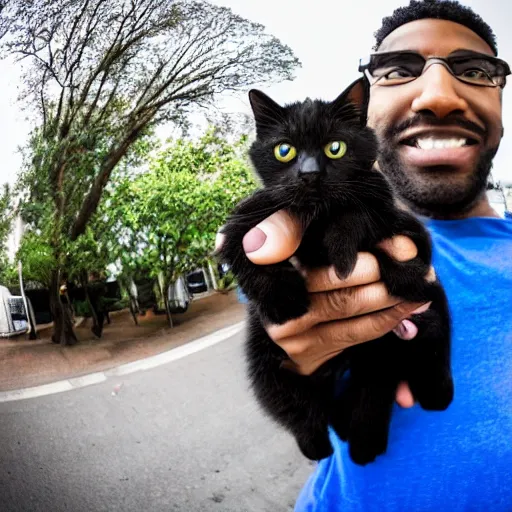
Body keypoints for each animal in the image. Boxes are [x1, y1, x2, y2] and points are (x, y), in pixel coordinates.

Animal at [218, 78, 454, 466]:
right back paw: (323, 445)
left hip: (390, 346)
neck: (316, 220)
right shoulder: (250, 215)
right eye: (284, 150)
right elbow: (239, 243)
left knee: (419, 347)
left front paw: (344, 252)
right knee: (305, 414)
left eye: (335, 147)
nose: (310, 174)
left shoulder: (403, 224)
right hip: (268, 367)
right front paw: (283, 299)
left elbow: (362, 213)